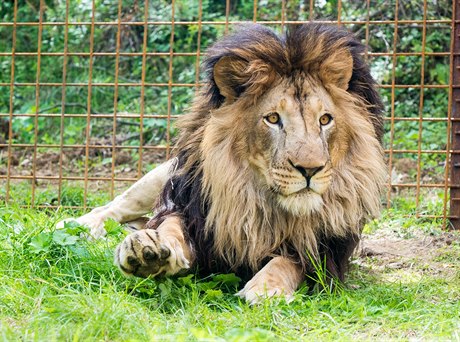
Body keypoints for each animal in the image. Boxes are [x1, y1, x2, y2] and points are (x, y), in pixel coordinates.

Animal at [59, 22, 386, 304]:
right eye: (273, 118)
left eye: (325, 120)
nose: (310, 169)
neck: (256, 202)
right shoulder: (193, 215)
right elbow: (170, 227)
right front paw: (148, 250)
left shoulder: (325, 251)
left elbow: (288, 261)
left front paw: (265, 288)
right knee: (113, 206)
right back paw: (79, 225)